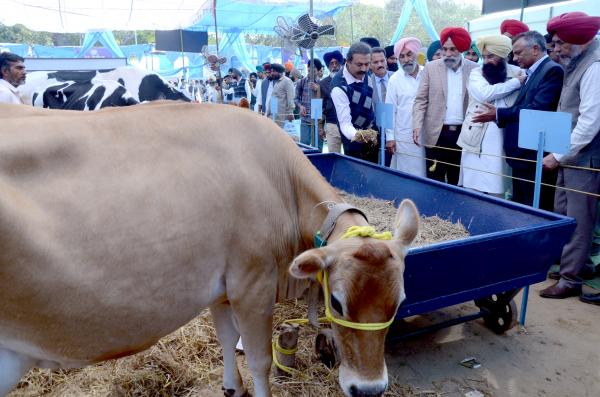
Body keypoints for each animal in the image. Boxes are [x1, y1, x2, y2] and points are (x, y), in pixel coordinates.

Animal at [0, 101, 418, 396]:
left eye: (398, 302)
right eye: (336, 303)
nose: (369, 389)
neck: (279, 180)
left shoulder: (223, 286)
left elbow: (226, 339)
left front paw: (231, 387)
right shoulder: (253, 281)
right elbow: (260, 360)